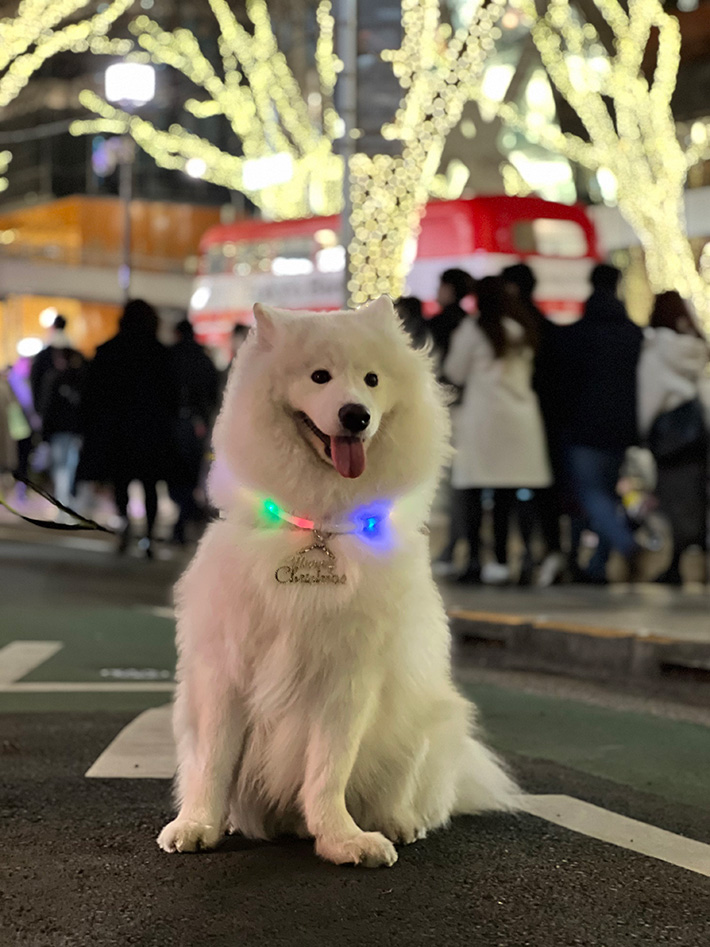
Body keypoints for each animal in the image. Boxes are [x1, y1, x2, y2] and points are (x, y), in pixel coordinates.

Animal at [160, 294, 516, 868]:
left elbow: (329, 770)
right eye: (319, 376)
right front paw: (198, 825)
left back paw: (397, 823)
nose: (356, 415)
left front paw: (341, 839)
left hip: (428, 719)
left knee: (403, 789)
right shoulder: (225, 672)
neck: (318, 525)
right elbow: (214, 762)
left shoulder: (349, 678)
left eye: (371, 379)